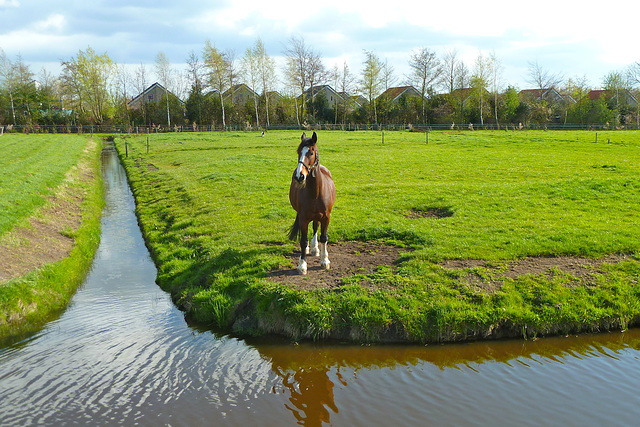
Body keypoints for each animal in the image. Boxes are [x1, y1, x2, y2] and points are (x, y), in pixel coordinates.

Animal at [290, 132, 338, 276]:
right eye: (298, 151)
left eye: (311, 152)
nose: (299, 176)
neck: (315, 192)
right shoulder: (303, 218)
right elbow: (303, 240)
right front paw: (302, 265)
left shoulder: (326, 217)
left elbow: (323, 237)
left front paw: (325, 260)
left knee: (316, 227)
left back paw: (315, 249)